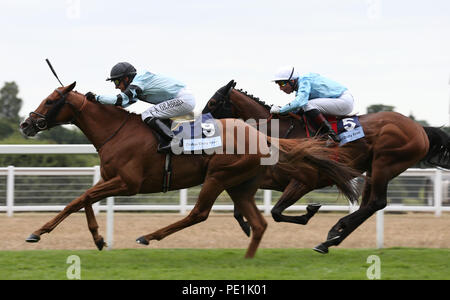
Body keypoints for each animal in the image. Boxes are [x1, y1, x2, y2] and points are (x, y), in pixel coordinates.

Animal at [20, 82, 362, 258]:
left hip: (218, 176)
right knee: (260, 222)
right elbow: (86, 200)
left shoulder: (127, 183)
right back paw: (249, 258)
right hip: (239, 184)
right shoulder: (109, 179)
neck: (116, 131)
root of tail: (259, 135)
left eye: (50, 100)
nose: (26, 124)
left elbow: (77, 200)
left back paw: (149, 237)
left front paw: (37, 232)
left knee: (199, 213)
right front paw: (98, 239)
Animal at [204, 79, 450, 253]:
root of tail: (420, 129)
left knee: (376, 203)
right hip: (373, 168)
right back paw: (331, 239)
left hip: (385, 163)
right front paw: (247, 226)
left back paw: (335, 231)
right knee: (368, 205)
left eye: (213, 103)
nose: (202, 127)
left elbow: (276, 212)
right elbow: (242, 207)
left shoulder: (303, 181)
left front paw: (309, 212)